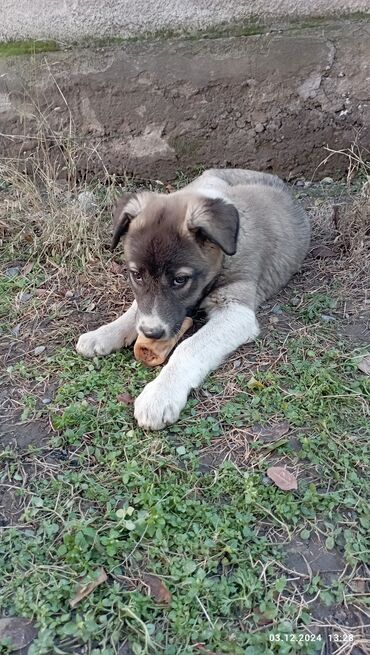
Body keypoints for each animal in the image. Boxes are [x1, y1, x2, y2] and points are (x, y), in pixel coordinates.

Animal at [76, 169, 310, 430]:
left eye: (180, 280)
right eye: (136, 275)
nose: (151, 333)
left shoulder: (235, 311)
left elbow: (188, 348)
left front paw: (160, 394)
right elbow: (136, 309)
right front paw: (104, 333)